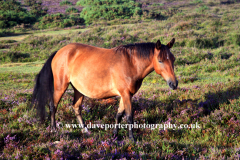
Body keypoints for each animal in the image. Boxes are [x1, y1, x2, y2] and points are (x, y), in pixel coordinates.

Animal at [31, 38, 178, 140]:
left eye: (173, 59)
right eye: (160, 60)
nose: (174, 84)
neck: (131, 63)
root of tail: (59, 52)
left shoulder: (126, 95)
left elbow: (119, 115)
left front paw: (115, 135)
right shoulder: (126, 94)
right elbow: (129, 116)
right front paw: (132, 139)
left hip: (79, 90)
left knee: (76, 107)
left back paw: (86, 131)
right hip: (60, 86)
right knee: (53, 106)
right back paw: (54, 130)